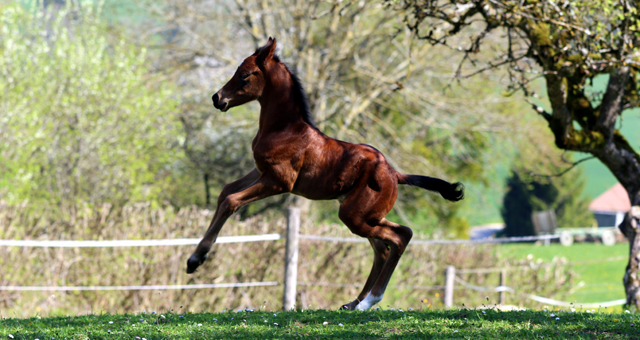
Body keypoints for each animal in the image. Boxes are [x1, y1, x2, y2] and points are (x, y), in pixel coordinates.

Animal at [186, 37, 464, 310]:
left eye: (244, 74)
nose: (217, 98)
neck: (284, 128)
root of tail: (395, 175)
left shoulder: (279, 181)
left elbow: (231, 201)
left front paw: (198, 258)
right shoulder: (260, 170)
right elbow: (225, 192)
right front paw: (193, 258)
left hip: (354, 215)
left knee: (397, 239)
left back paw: (369, 301)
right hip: (365, 215)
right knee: (388, 244)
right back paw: (354, 303)